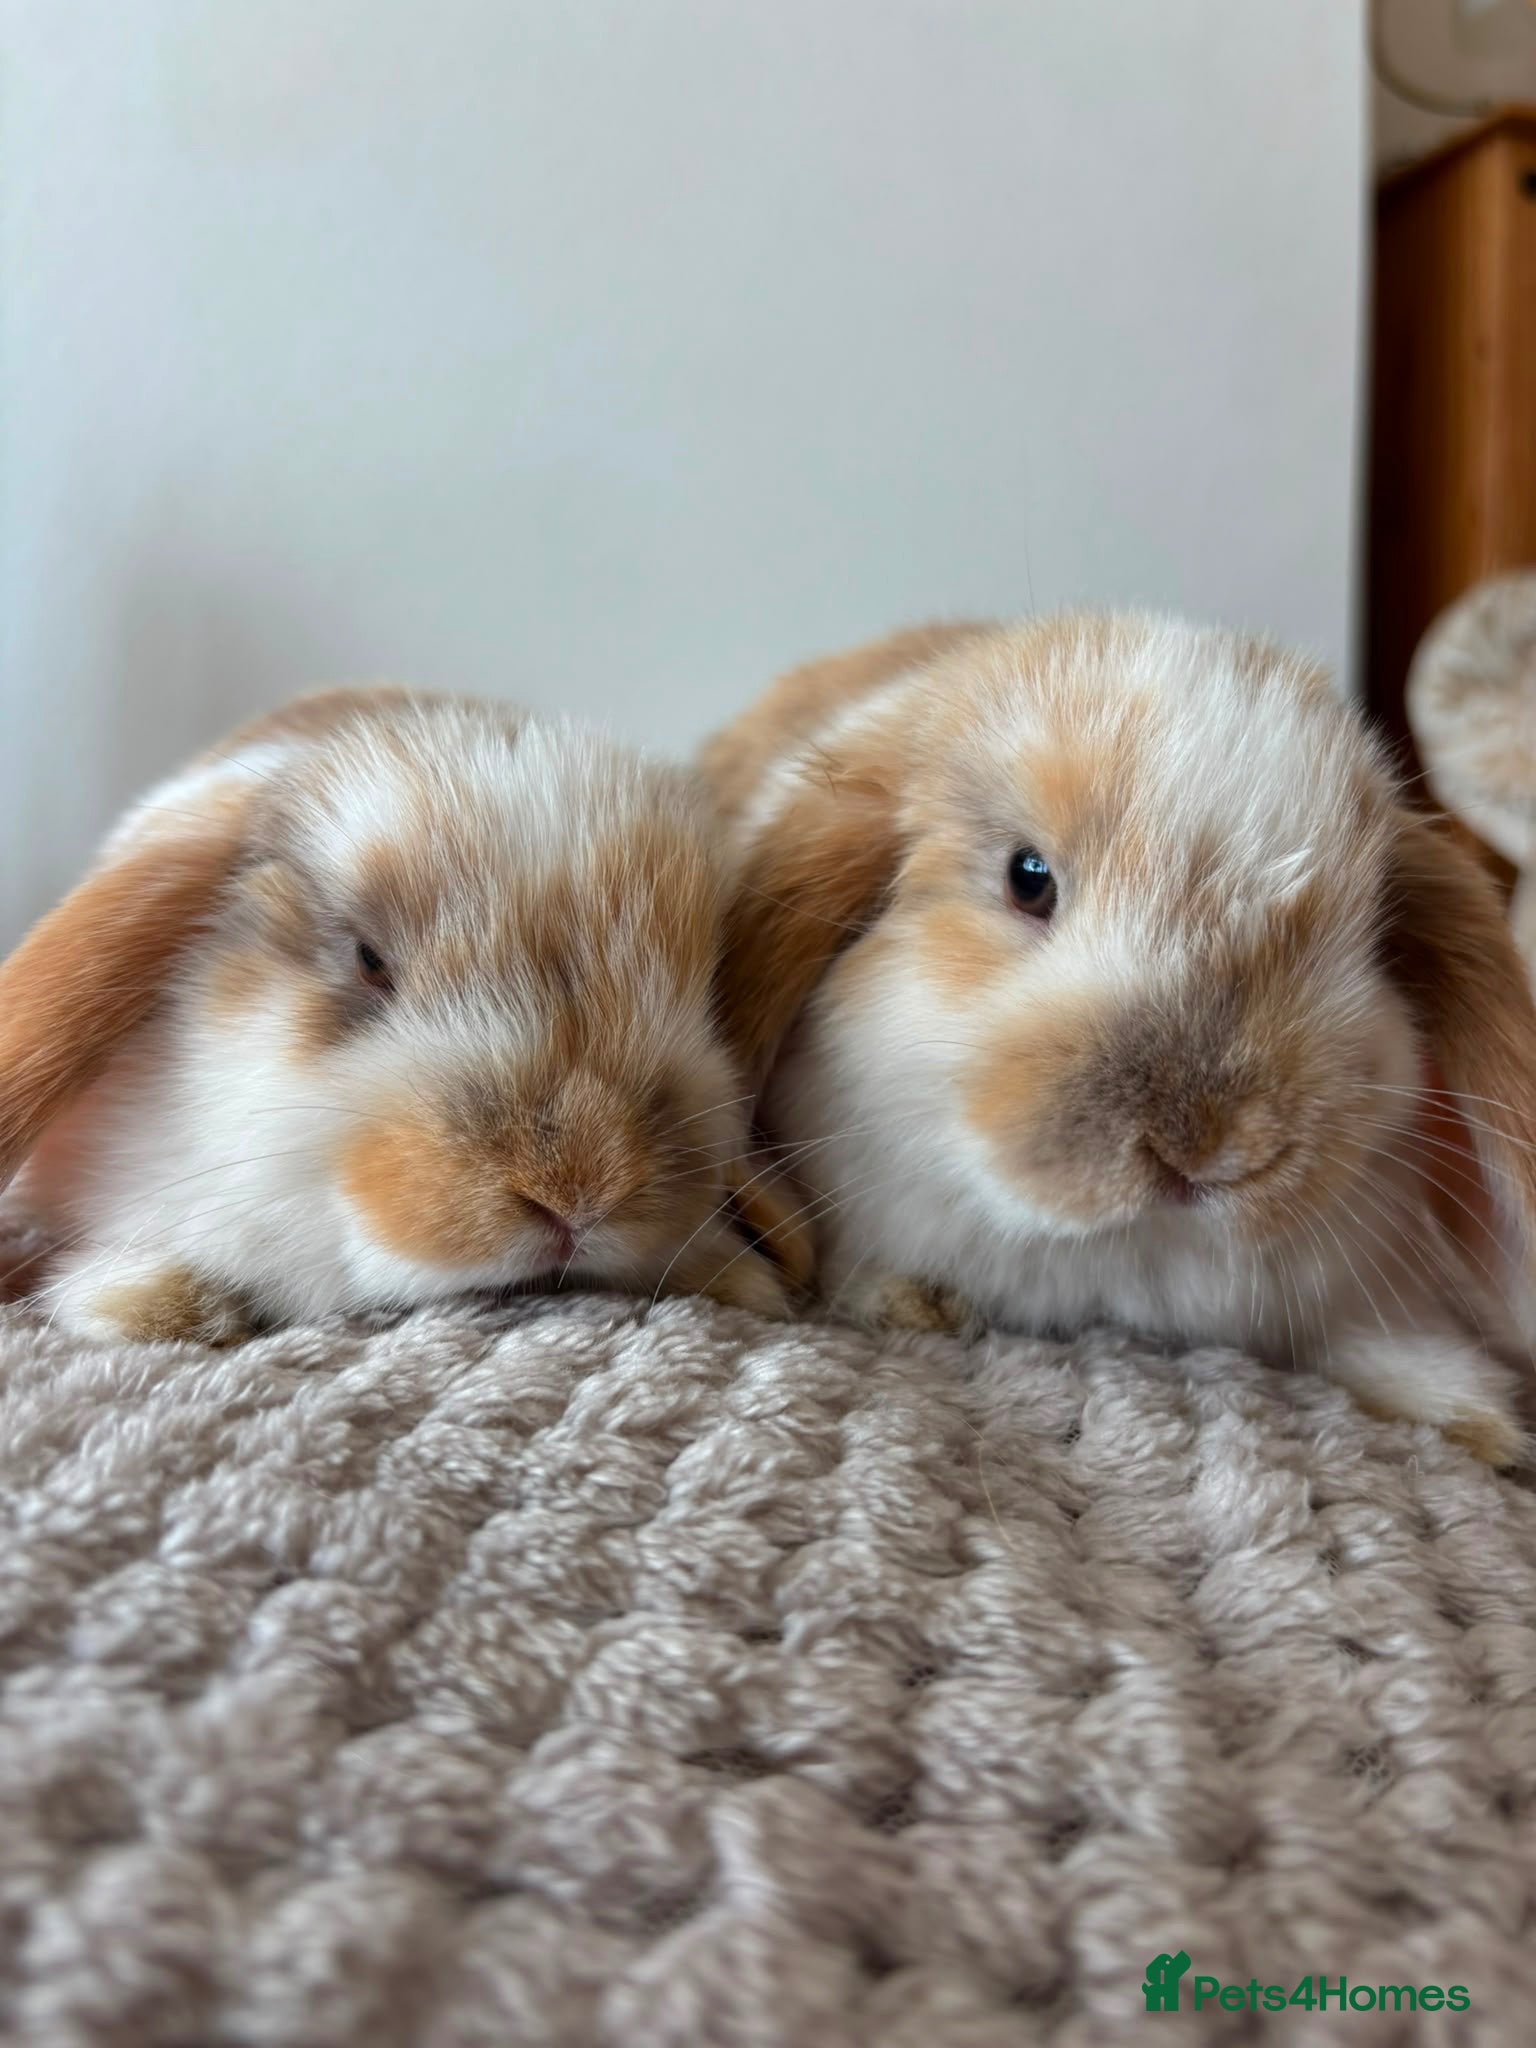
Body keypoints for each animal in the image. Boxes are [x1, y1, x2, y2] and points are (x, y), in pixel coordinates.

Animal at [701, 614, 1536, 1465]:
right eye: (1027, 876)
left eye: (1370, 935)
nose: (1204, 1150)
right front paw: (914, 1301)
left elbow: (1366, 1335)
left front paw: (1473, 1414)